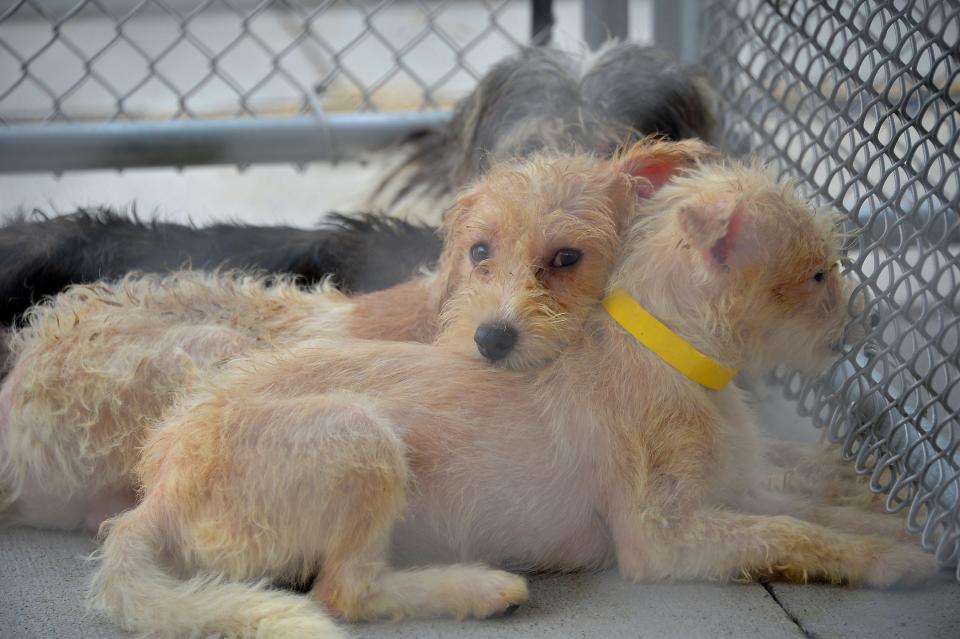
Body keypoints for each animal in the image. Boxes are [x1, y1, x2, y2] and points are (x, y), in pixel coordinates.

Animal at [92, 158, 936, 639]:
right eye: (819, 273)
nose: (869, 324)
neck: (670, 352)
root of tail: (155, 494)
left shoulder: (737, 486)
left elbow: (811, 510)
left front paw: (900, 533)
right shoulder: (665, 538)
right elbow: (792, 533)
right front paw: (888, 559)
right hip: (357, 436)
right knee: (343, 589)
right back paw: (477, 587)